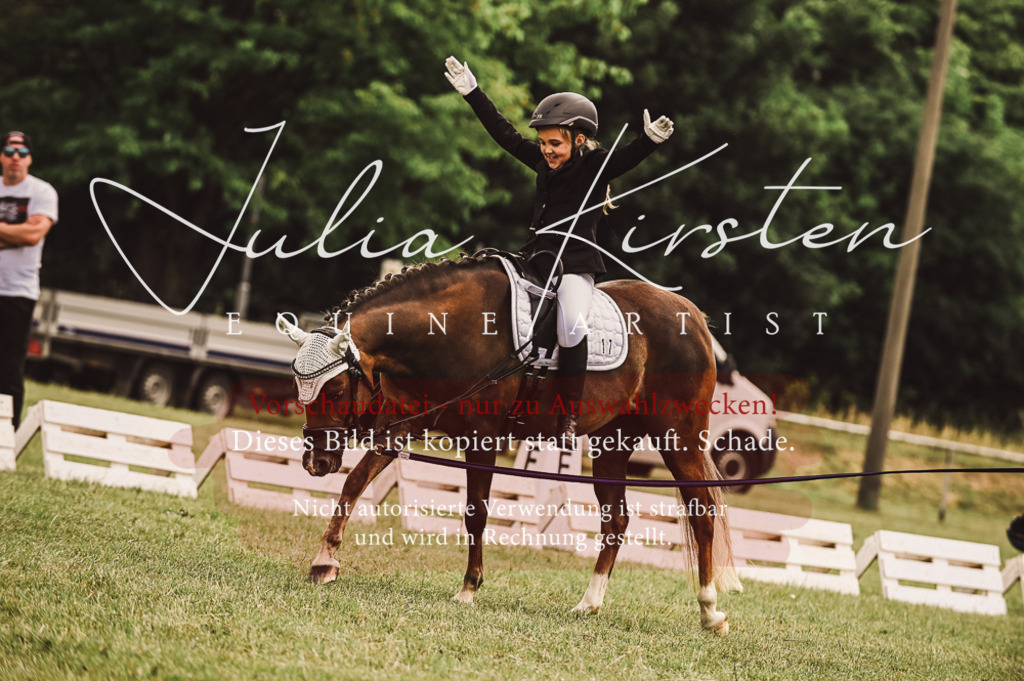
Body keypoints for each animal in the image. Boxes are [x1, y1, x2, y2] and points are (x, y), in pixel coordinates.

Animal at [282, 252, 741, 635]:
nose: (315, 462)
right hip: (613, 440)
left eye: (335, 388)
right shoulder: (401, 426)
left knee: (702, 512)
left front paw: (469, 588)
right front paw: (324, 562)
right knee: (616, 520)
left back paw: (710, 611)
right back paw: (589, 603)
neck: (447, 329)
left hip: (678, 437)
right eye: (298, 386)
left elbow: (476, 513)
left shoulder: (482, 438)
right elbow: (354, 484)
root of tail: (692, 315)